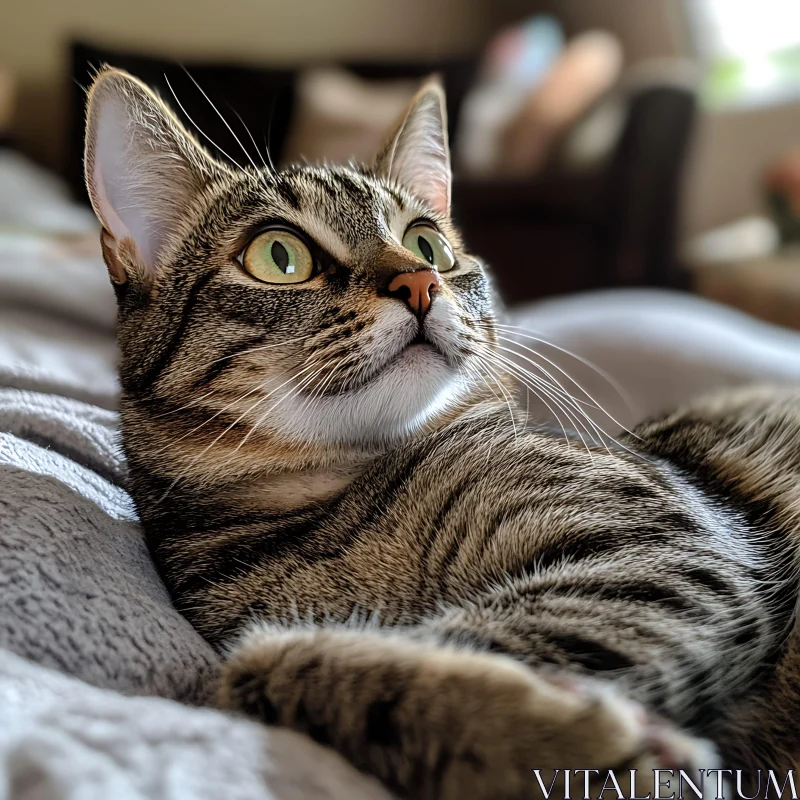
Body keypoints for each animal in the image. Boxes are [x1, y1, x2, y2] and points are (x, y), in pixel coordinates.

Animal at [84, 69, 796, 800]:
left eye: (430, 244)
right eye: (280, 256)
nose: (420, 279)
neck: (330, 513)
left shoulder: (665, 545)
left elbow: (271, 667)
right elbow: (254, 673)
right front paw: (569, 739)